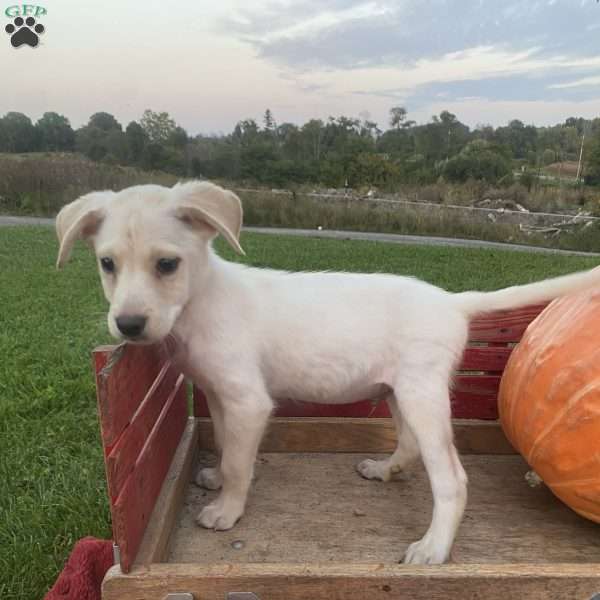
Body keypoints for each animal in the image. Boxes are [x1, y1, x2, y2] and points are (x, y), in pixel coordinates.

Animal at [56, 180, 600, 564]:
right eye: (107, 263)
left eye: (167, 264)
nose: (128, 325)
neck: (201, 300)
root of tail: (452, 301)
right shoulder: (222, 397)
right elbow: (229, 448)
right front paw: (214, 480)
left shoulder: (249, 400)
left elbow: (238, 463)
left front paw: (227, 511)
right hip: (400, 392)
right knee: (406, 445)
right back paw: (384, 470)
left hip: (422, 395)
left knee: (452, 479)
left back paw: (434, 548)